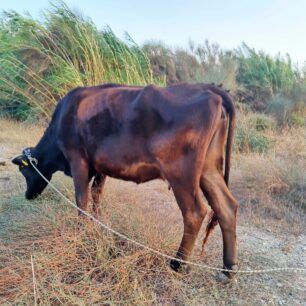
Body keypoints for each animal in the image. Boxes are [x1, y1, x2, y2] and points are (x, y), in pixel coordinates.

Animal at [11, 82, 239, 278]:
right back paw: (228, 268)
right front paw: (98, 223)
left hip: (181, 173)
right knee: (226, 207)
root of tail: (208, 89)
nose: (27, 196)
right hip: (209, 169)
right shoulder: (99, 167)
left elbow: (81, 200)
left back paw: (177, 263)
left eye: (24, 171)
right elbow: (96, 195)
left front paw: (81, 232)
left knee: (195, 212)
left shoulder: (78, 160)